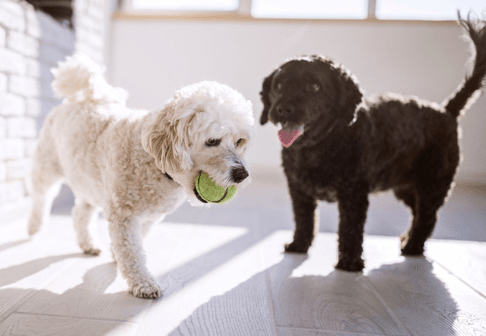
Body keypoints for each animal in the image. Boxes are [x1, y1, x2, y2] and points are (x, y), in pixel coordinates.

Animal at [27, 55, 254, 300]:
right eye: (212, 141)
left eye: (239, 141)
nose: (242, 174)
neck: (152, 161)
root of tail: (79, 99)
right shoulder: (123, 214)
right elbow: (132, 252)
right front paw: (143, 283)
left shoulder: (150, 217)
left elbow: (136, 242)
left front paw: (115, 255)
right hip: (47, 165)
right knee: (40, 196)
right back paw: (34, 226)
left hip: (89, 180)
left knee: (80, 212)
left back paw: (87, 243)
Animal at [260, 16, 486, 272]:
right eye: (278, 86)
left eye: (314, 86)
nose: (283, 109)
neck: (316, 147)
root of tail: (446, 110)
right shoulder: (299, 191)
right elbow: (303, 220)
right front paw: (299, 244)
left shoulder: (354, 194)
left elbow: (350, 229)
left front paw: (349, 262)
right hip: (406, 187)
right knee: (418, 213)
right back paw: (408, 239)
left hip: (433, 183)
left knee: (427, 217)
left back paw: (412, 247)